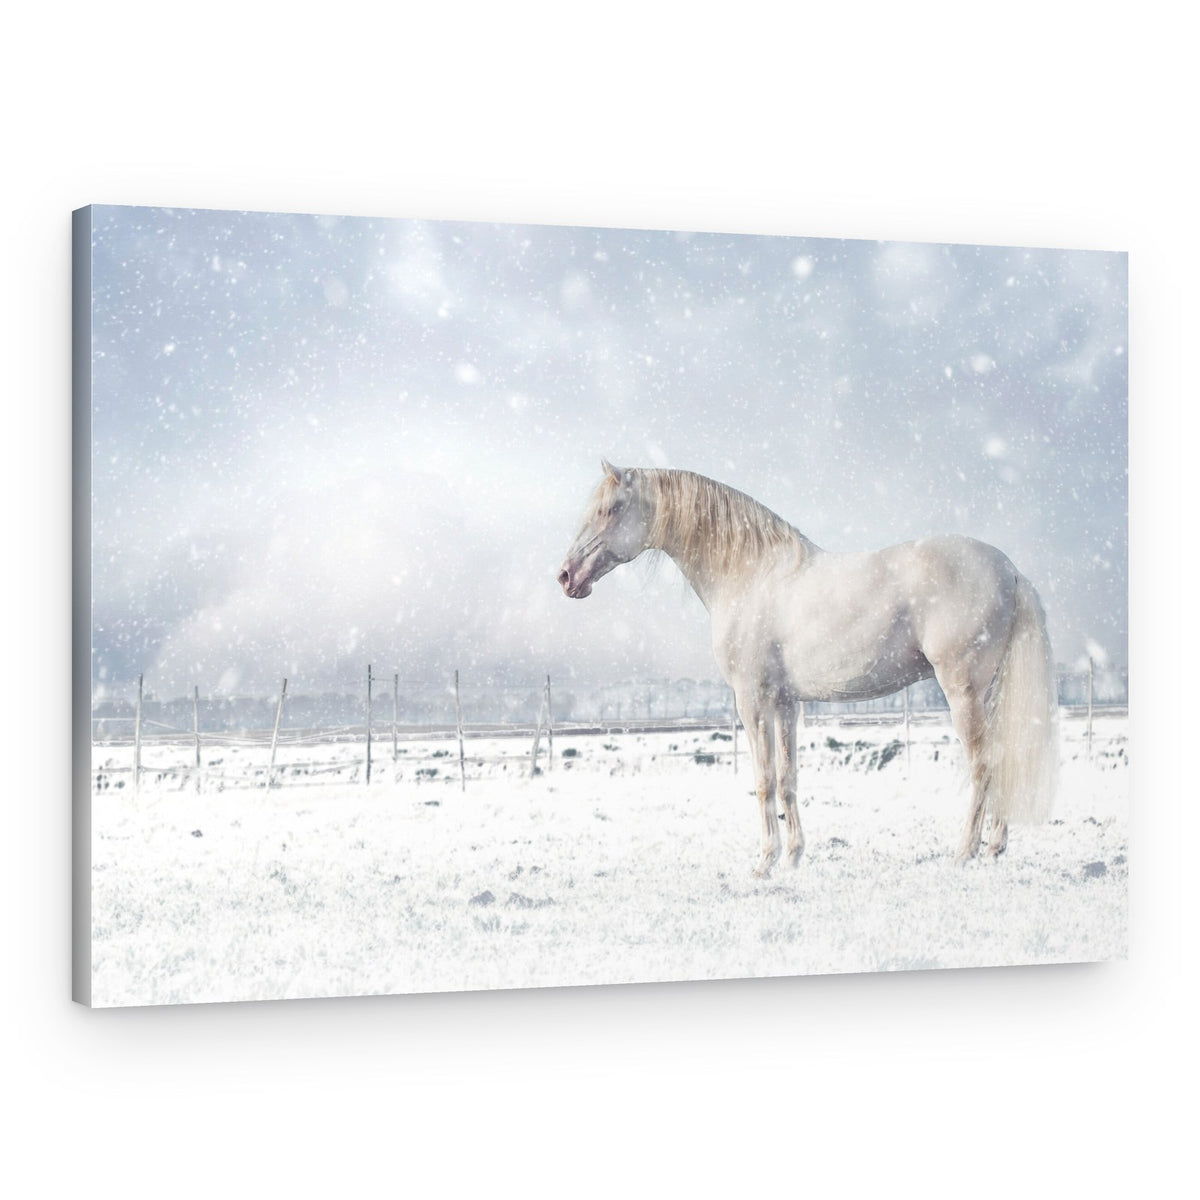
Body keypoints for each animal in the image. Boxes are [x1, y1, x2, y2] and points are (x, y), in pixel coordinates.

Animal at [557, 461, 1059, 876]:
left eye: (611, 509)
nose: (566, 576)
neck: (749, 574)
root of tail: (1011, 570)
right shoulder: (785, 703)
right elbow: (787, 779)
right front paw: (794, 856)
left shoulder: (753, 700)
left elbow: (762, 781)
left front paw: (764, 863)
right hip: (989, 693)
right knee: (1001, 756)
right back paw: (995, 846)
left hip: (963, 691)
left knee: (983, 763)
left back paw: (965, 853)